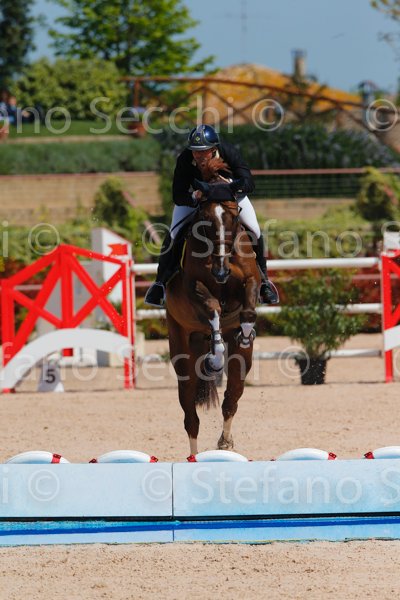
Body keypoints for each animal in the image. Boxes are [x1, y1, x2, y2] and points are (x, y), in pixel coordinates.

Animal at [166, 157, 261, 458]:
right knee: (190, 416)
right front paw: (217, 351)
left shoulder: (251, 280)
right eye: (206, 220)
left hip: (242, 364)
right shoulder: (194, 287)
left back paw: (225, 443)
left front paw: (245, 332)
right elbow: (213, 309)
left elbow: (248, 309)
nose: (220, 272)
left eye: (234, 217)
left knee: (231, 398)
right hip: (182, 351)